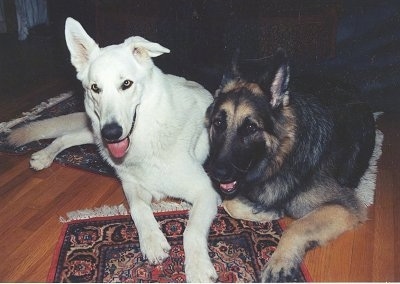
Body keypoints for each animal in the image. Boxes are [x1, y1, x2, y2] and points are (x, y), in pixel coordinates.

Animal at [8, 17, 222, 282]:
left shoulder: (206, 192)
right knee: (67, 136)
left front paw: (198, 268)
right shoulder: (131, 185)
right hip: (95, 131)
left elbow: (190, 231)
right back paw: (44, 155)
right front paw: (152, 240)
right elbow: (138, 208)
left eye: (126, 84)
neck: (147, 132)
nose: (111, 132)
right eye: (95, 88)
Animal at [205, 49, 376, 282]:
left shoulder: (344, 207)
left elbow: (297, 226)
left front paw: (280, 261)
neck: (282, 159)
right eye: (218, 123)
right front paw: (267, 211)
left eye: (250, 128)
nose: (217, 173)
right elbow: (230, 204)